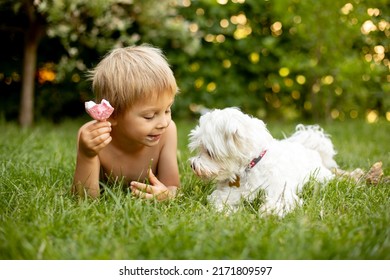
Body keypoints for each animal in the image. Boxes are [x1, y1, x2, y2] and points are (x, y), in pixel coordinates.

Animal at [189, 107, 338, 217]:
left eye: (209, 152)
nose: (192, 165)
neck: (250, 166)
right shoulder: (228, 192)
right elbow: (218, 200)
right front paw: (228, 211)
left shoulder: (280, 189)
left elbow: (280, 200)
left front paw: (270, 211)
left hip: (318, 176)